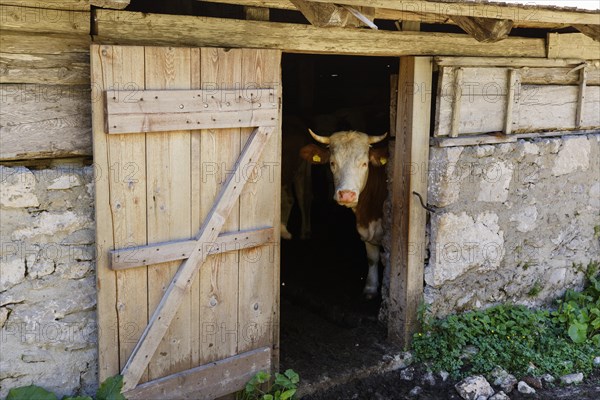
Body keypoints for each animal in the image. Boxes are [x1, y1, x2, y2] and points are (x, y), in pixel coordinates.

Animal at [300, 130, 390, 298]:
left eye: (364, 164)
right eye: (332, 163)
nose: (347, 194)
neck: (369, 213)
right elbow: (372, 258)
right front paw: (370, 287)